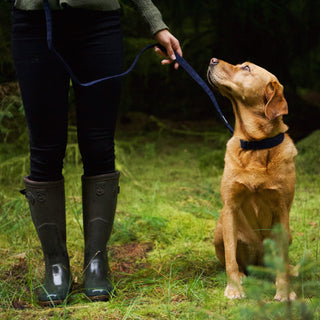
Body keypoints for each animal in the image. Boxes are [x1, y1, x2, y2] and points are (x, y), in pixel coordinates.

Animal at [208, 57, 298, 300]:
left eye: (246, 68)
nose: (212, 60)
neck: (256, 145)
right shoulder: (230, 207)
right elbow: (230, 259)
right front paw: (234, 289)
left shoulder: (282, 209)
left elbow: (282, 260)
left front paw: (284, 291)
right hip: (219, 229)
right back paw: (242, 276)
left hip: (288, 234)